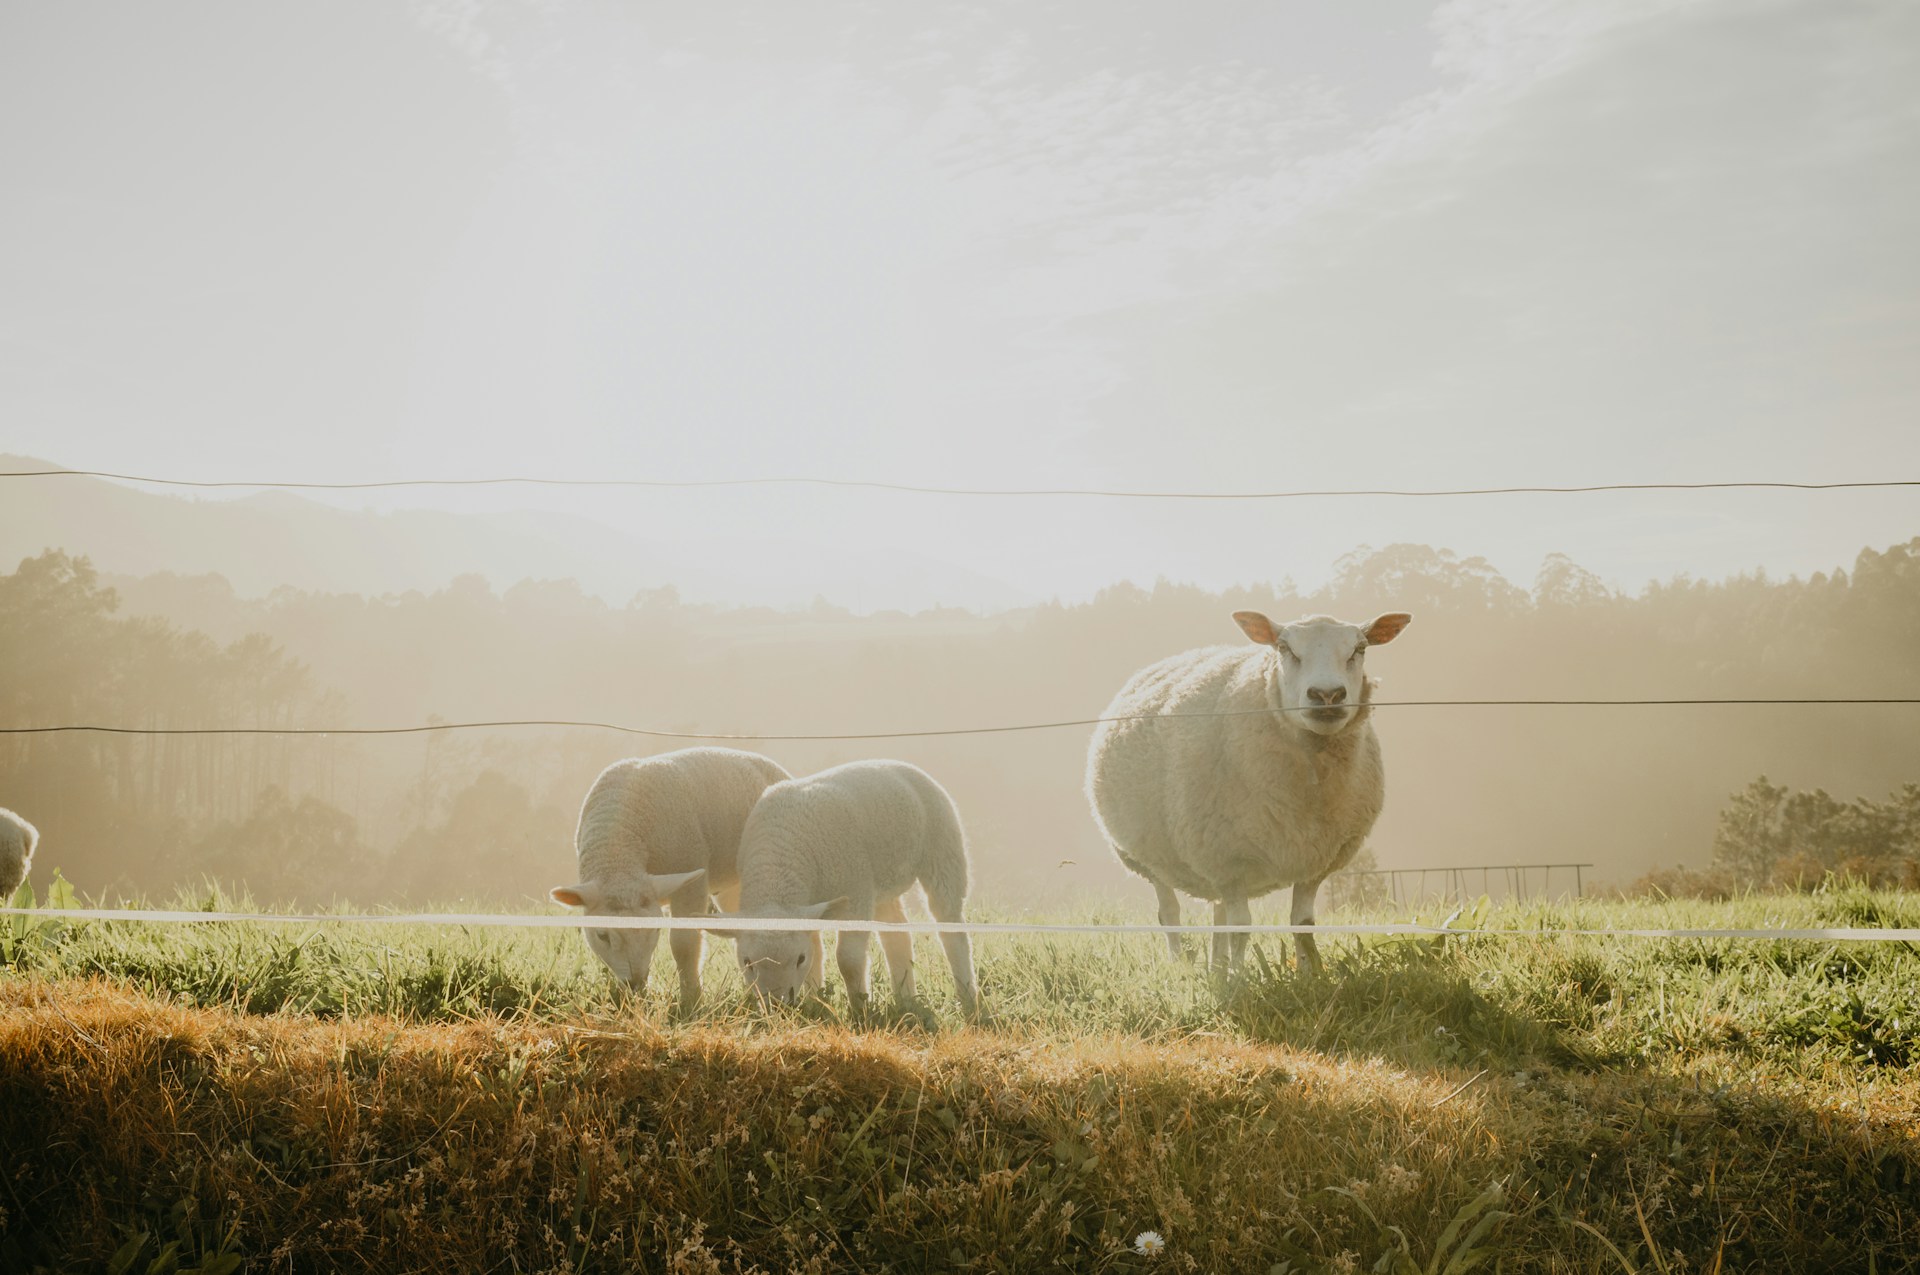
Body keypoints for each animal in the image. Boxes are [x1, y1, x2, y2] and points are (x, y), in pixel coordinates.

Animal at [550, 747, 790, 1007]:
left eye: (656, 930)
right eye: (602, 935)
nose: (635, 983)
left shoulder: (691, 875)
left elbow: (684, 943)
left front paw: (691, 999)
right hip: (732, 886)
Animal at [714, 759, 979, 1019]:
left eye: (799, 959)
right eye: (747, 962)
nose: (778, 1005)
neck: (779, 864)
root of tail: (900, 764)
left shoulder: (855, 893)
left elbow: (848, 960)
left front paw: (860, 1009)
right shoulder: (811, 907)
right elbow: (817, 951)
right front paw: (815, 1003)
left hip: (943, 850)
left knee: (951, 927)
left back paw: (967, 998)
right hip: (880, 883)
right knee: (897, 935)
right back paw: (907, 1000)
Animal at [1085, 610, 1413, 977]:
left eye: (1360, 648)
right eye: (1284, 648)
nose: (1327, 695)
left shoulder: (1315, 861)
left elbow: (1302, 924)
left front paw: (1308, 976)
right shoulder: (1228, 859)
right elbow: (1241, 927)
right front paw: (1240, 980)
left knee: (1218, 913)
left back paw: (1217, 967)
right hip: (1151, 857)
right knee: (1170, 913)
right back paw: (1182, 965)